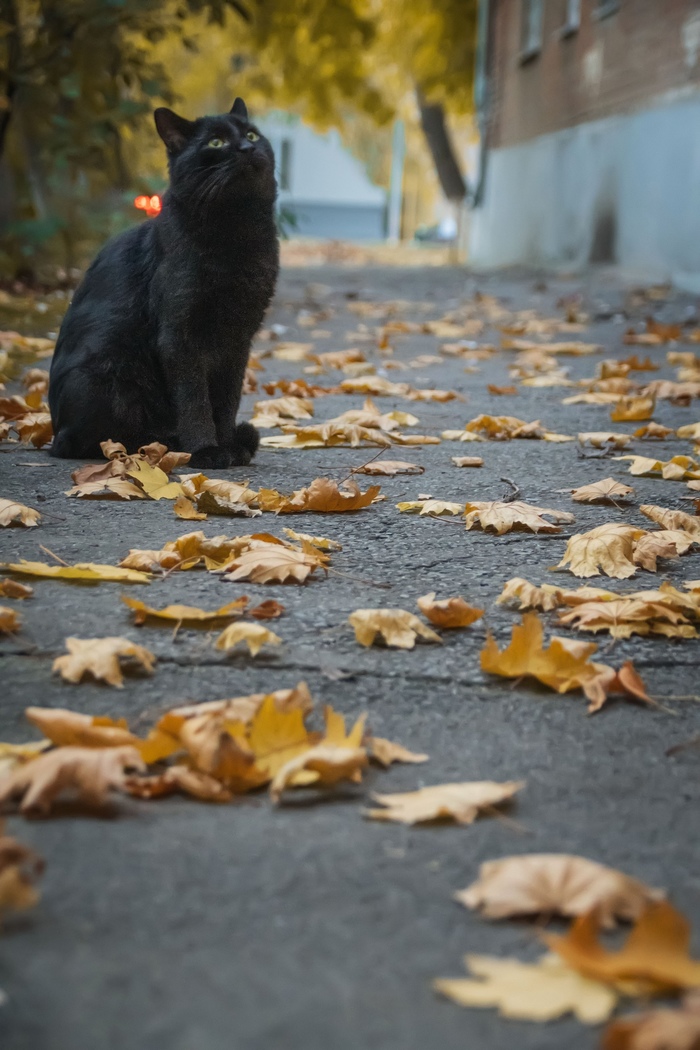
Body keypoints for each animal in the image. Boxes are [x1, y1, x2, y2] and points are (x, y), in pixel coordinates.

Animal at [48, 98, 279, 468]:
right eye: (216, 143)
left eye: (252, 134)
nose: (247, 148)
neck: (237, 232)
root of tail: (55, 432)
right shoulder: (180, 337)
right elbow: (195, 400)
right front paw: (205, 450)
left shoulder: (238, 339)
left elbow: (226, 401)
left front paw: (227, 446)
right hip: (105, 378)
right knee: (94, 443)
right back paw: (165, 446)